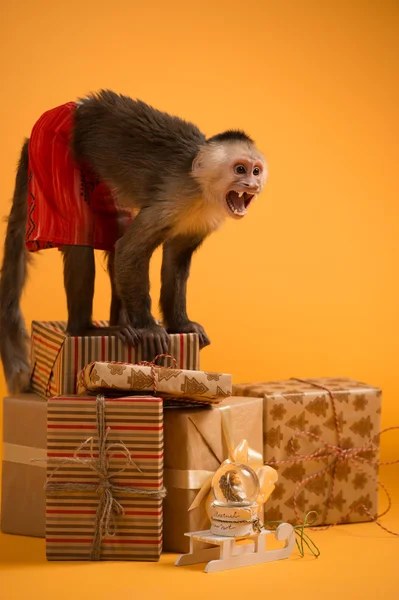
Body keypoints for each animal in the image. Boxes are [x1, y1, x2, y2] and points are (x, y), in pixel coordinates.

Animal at [0, 90, 268, 394]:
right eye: (240, 170)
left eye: (256, 171)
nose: (253, 185)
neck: (202, 190)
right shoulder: (174, 197)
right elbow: (130, 250)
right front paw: (149, 326)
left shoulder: (203, 218)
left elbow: (174, 259)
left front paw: (181, 324)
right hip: (52, 151)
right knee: (82, 241)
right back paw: (85, 329)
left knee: (116, 229)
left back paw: (120, 322)